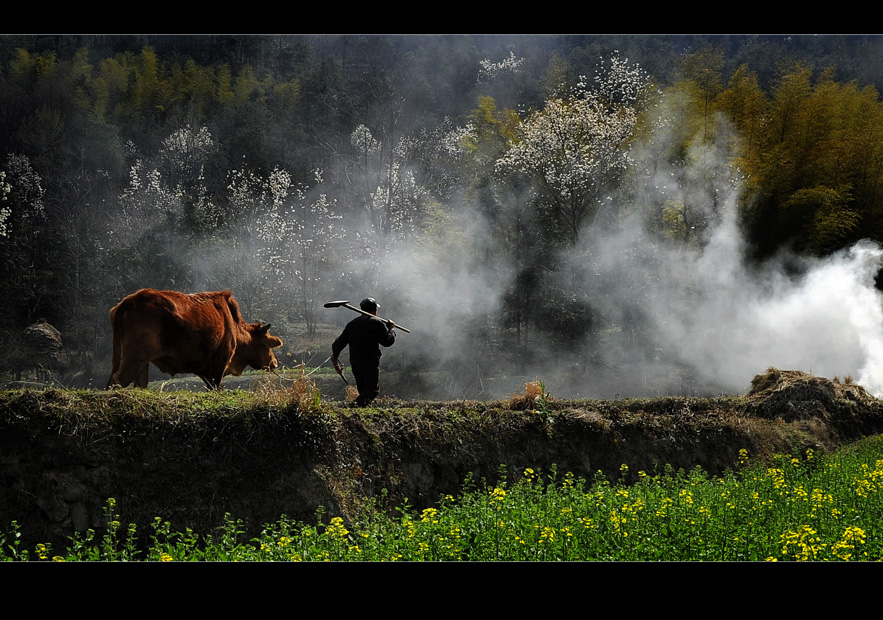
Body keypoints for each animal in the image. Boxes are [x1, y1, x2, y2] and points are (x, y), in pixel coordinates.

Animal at [106, 290, 284, 388]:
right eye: (267, 345)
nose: (274, 363)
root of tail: (131, 300)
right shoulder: (219, 364)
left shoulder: (203, 369)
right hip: (135, 357)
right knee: (118, 381)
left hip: (142, 362)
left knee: (138, 385)